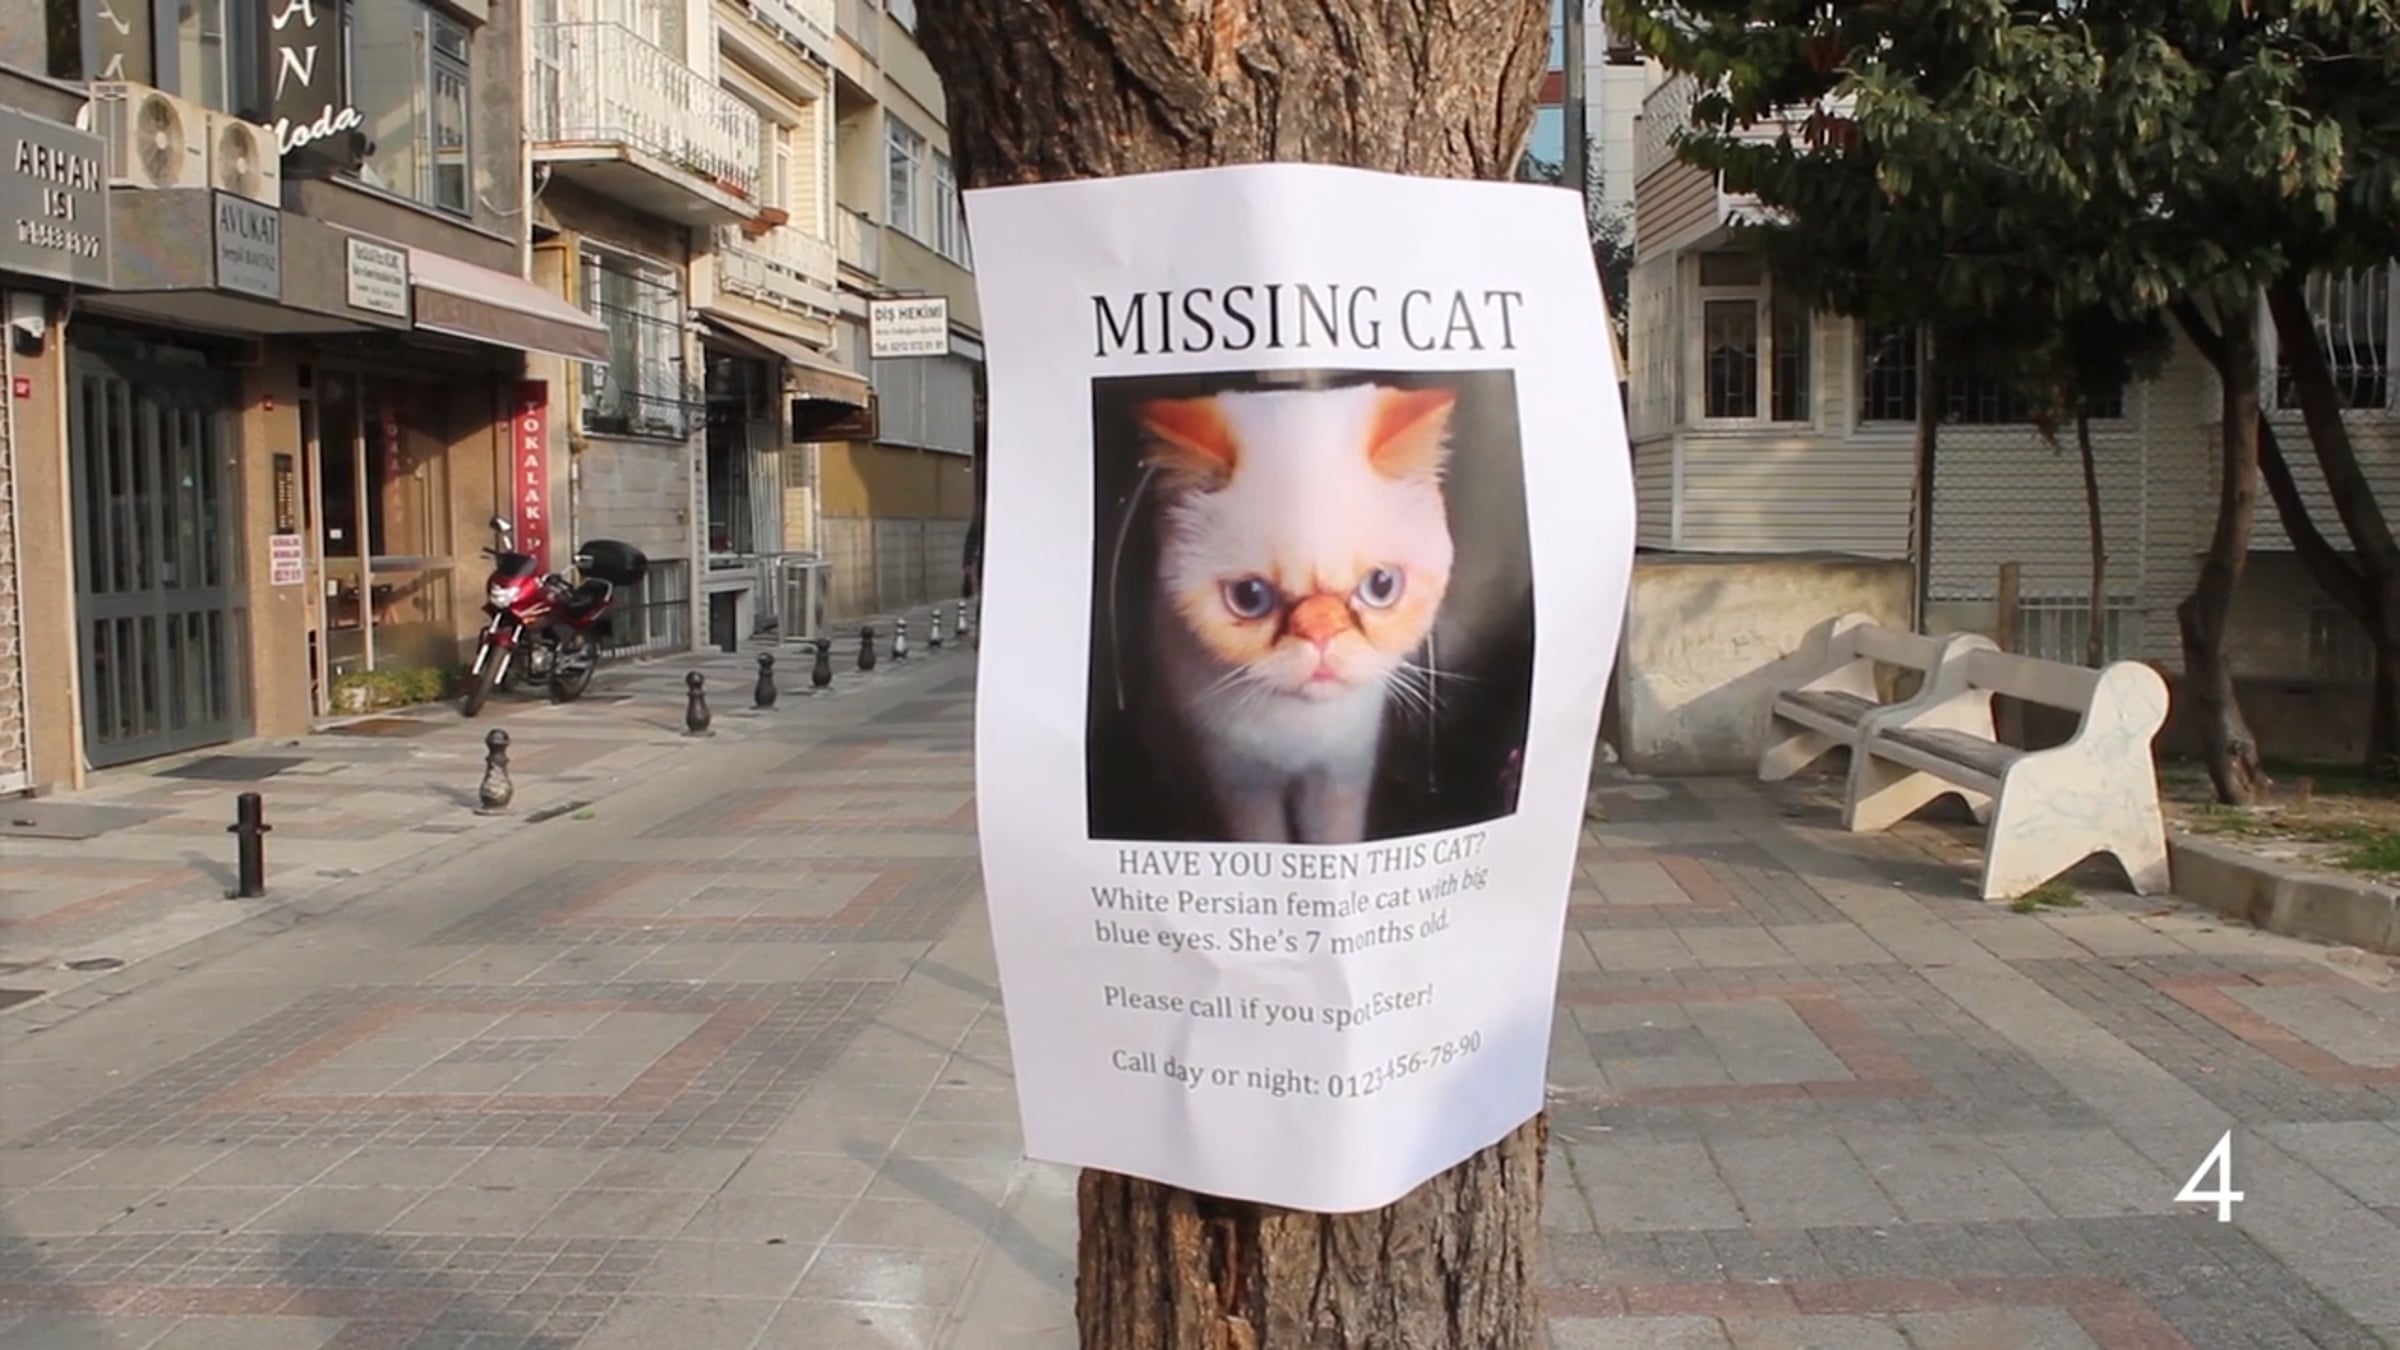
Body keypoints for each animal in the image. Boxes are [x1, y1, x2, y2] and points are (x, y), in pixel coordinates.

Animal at [1135, 382, 1458, 845]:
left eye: (1381, 586)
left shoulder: (1340, 772)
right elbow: (1263, 841)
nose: (1321, 633)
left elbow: (1334, 838)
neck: (1298, 731)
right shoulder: (1240, 782)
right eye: (1250, 597)